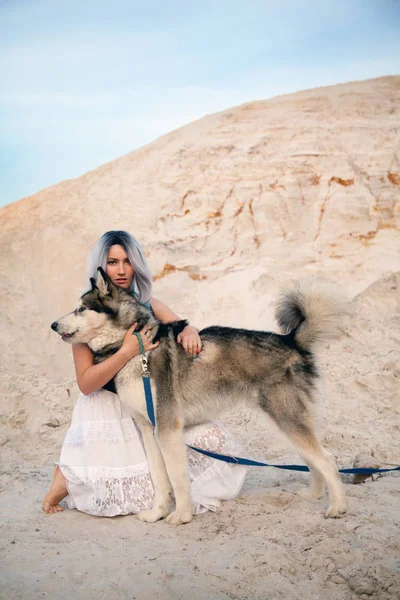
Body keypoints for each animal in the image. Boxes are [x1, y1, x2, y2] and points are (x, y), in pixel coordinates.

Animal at [51, 270, 346, 524]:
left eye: (81, 309)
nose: (53, 324)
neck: (137, 349)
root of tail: (291, 340)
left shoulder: (168, 428)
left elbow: (177, 477)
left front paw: (182, 515)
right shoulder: (149, 430)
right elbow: (160, 479)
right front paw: (157, 513)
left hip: (287, 419)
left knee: (327, 460)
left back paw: (337, 507)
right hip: (286, 424)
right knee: (313, 459)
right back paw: (313, 495)